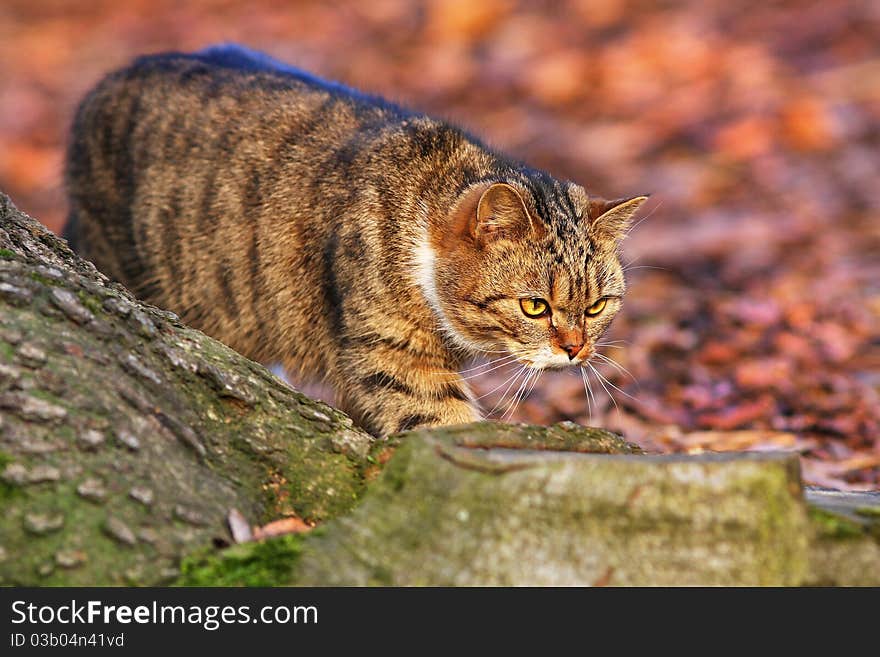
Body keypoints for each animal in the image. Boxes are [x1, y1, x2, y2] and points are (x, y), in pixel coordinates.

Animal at [65, 44, 648, 436]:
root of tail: (103, 85)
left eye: (596, 306)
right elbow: (439, 422)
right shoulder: (389, 351)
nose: (575, 350)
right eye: (534, 306)